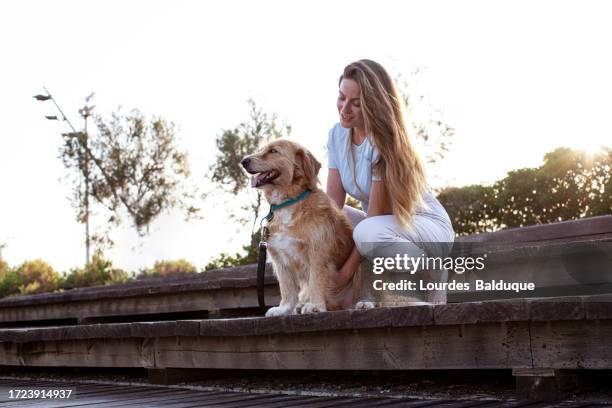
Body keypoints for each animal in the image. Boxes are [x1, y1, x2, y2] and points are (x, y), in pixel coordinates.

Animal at [240, 139, 372, 316]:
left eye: (274, 151)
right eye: (261, 149)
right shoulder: (280, 258)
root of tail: (343, 304)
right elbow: (287, 288)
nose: (243, 161)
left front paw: (315, 305)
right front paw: (284, 308)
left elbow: (316, 280)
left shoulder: (318, 252)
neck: (289, 202)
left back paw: (365, 302)